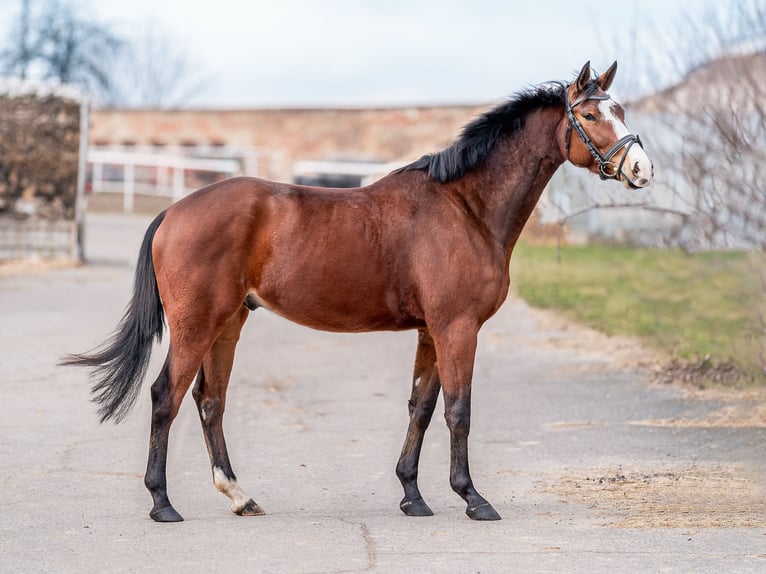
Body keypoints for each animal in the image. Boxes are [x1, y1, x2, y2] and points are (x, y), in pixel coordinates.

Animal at [63, 61, 653, 523]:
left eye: (622, 109)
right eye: (592, 115)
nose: (641, 168)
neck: (465, 207)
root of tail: (174, 211)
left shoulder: (432, 331)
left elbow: (421, 406)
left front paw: (413, 496)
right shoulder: (457, 327)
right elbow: (459, 410)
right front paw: (472, 498)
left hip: (229, 321)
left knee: (210, 402)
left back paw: (239, 496)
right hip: (197, 323)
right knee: (166, 396)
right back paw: (162, 503)